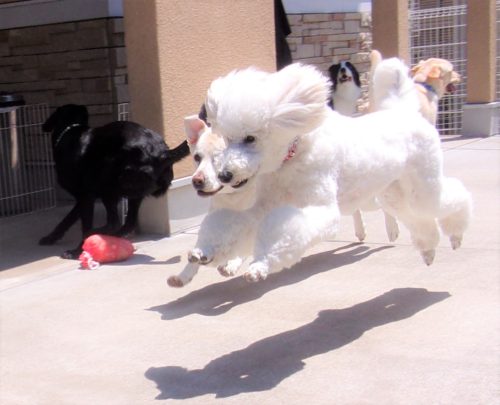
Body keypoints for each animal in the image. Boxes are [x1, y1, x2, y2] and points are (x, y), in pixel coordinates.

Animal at [40, 104, 190, 259]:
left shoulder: (86, 196)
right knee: (128, 223)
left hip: (113, 184)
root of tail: (162, 153)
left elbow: (82, 223)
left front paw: (77, 250)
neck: (69, 130)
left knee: (114, 223)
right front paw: (51, 237)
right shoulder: (83, 198)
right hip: (131, 191)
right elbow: (67, 219)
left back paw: (94, 236)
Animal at [174, 60, 471, 284]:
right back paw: (429, 249)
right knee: (417, 218)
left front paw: (260, 265)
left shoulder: (319, 208)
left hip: (421, 185)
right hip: (395, 194)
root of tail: (403, 112)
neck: (293, 155)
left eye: (250, 138)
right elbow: (232, 224)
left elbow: (286, 231)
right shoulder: (260, 206)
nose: (225, 175)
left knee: (453, 198)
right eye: (227, 138)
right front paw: (205, 251)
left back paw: (456, 236)